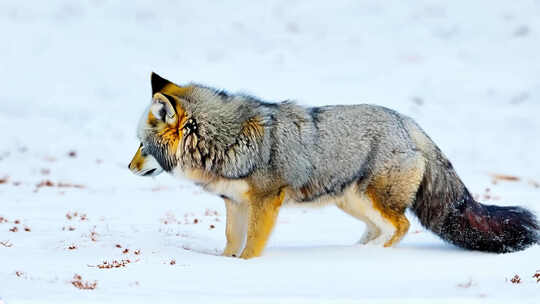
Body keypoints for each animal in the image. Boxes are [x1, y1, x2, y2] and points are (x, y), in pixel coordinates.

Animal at [129, 72, 536, 258]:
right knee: (380, 230)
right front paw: (225, 264)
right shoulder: (235, 203)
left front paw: (245, 268)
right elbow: (232, 241)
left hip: (373, 200)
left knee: (401, 227)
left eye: (142, 146)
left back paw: (369, 258)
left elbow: (253, 246)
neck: (226, 139)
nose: (129, 168)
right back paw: (351, 254)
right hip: (353, 203)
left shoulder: (265, 202)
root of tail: (408, 122)